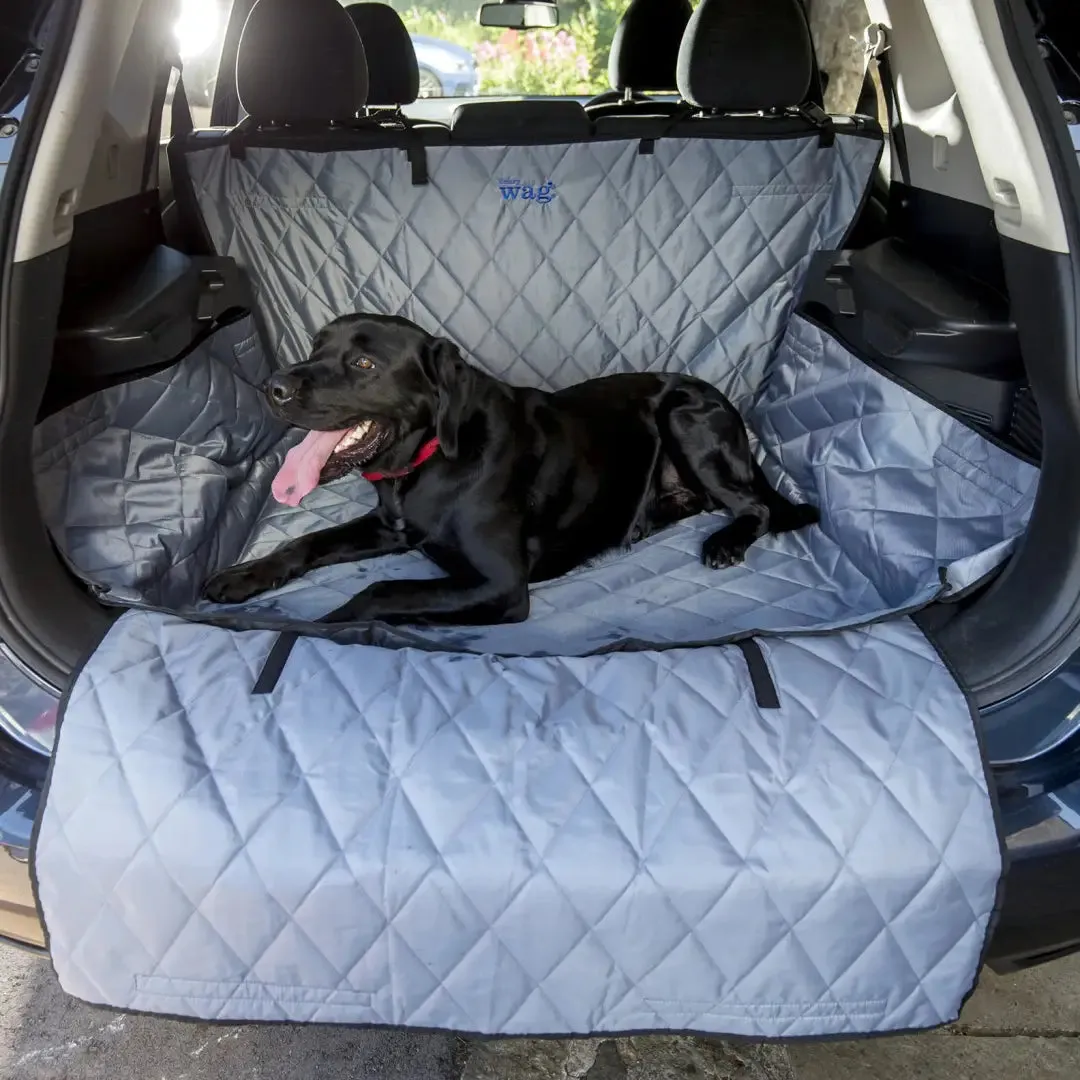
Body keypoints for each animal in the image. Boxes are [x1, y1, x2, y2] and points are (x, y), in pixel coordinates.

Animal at [204, 313, 816, 622]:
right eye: (315, 347)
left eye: (363, 363)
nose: (273, 387)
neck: (428, 458)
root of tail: (722, 399)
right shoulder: (389, 526)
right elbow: (304, 542)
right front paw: (245, 576)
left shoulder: (500, 585)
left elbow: (376, 594)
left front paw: (320, 626)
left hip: (687, 420)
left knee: (755, 506)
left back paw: (726, 541)